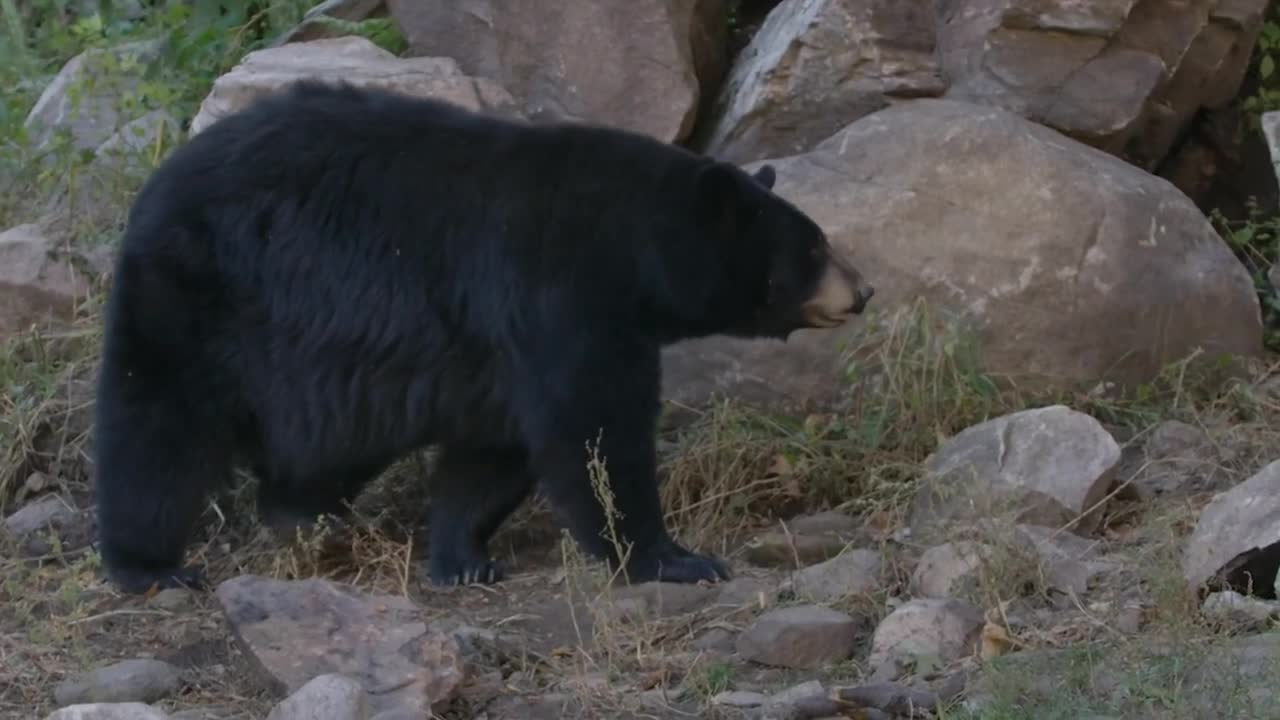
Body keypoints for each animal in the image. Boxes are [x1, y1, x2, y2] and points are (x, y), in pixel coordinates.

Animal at [90, 79, 870, 594]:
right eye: (813, 246)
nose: (862, 291)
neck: (630, 244)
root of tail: (155, 186)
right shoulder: (560, 294)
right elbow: (594, 433)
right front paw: (672, 557)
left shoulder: (497, 348)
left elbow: (496, 446)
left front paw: (464, 558)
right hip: (199, 296)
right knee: (157, 430)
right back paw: (150, 564)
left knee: (327, 449)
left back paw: (302, 514)